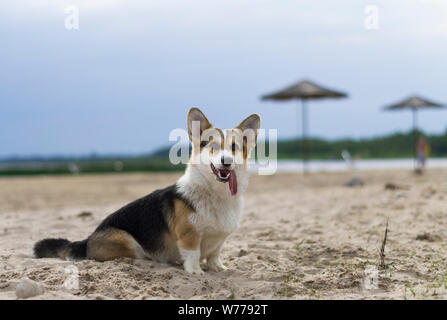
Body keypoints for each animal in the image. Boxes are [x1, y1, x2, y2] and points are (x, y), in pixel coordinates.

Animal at [35, 109, 262, 274]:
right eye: (213, 145)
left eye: (234, 147)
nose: (227, 162)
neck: (216, 194)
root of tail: (87, 240)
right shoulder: (189, 235)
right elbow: (193, 255)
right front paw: (196, 272)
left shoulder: (219, 240)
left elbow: (214, 254)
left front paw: (219, 268)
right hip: (127, 242)